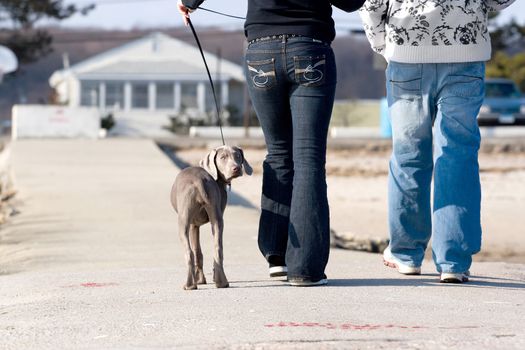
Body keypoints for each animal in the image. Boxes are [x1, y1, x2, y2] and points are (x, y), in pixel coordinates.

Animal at [171, 145, 253, 290]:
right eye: (223, 157)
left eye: (238, 156)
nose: (236, 168)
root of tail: (198, 180)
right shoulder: (197, 224)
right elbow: (199, 252)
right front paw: (202, 279)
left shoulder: (193, 225)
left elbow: (196, 251)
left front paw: (199, 280)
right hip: (216, 218)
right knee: (217, 248)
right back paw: (221, 282)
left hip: (183, 221)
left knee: (189, 252)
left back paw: (190, 284)